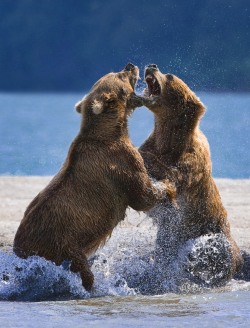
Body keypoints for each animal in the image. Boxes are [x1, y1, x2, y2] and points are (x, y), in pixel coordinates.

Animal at [13, 63, 170, 292]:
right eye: (120, 76)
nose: (130, 65)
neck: (110, 131)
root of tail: (19, 253)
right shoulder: (120, 162)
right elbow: (142, 196)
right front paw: (167, 186)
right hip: (64, 241)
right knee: (81, 268)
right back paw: (92, 285)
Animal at [140, 64, 243, 290]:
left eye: (169, 75)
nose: (152, 66)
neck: (170, 138)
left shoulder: (191, 160)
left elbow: (172, 175)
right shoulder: (155, 143)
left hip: (212, 231)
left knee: (217, 250)